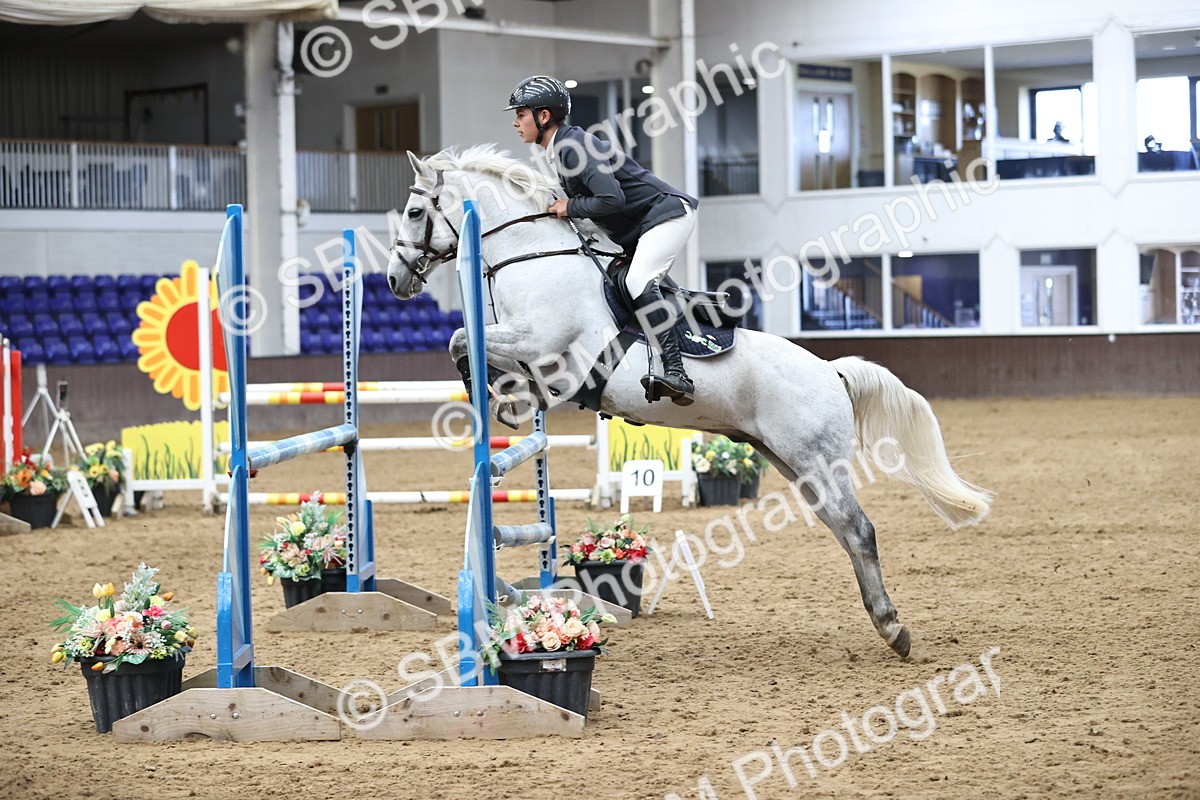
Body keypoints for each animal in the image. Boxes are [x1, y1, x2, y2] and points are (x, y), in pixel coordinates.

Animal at [386, 144, 991, 661]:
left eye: (415, 211)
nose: (394, 280)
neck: (535, 258)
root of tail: (831, 371)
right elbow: (474, 348)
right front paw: (507, 402)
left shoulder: (546, 349)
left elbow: (461, 341)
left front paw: (491, 396)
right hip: (796, 465)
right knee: (845, 531)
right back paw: (884, 622)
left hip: (816, 459)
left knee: (859, 530)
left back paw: (894, 628)